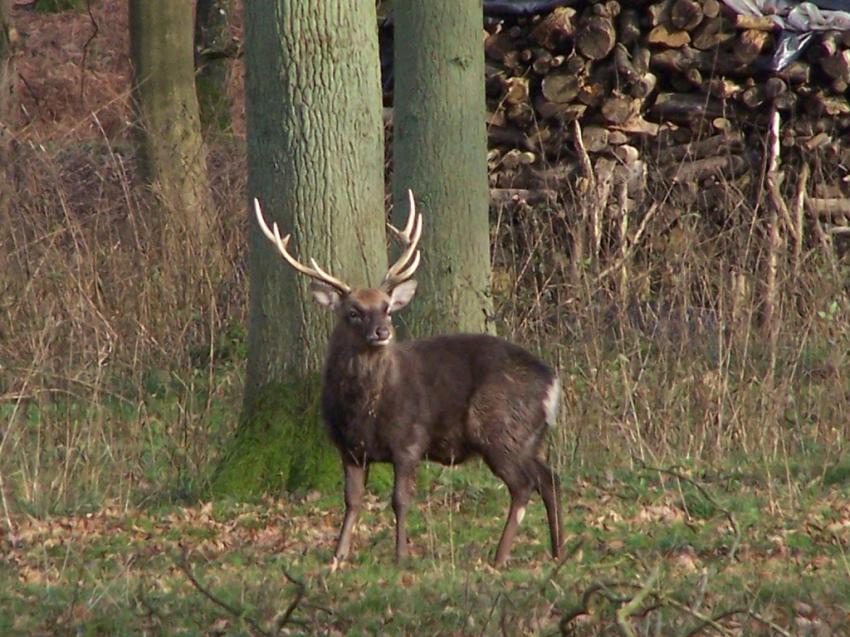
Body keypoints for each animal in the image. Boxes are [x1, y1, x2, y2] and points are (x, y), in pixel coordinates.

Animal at [252, 190, 564, 568]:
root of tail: (551, 384)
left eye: (386, 307)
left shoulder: (410, 440)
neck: (365, 408)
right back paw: (557, 550)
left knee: (523, 484)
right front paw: (338, 555)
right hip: (529, 436)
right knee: (550, 478)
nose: (382, 332)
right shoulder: (349, 448)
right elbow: (352, 500)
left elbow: (400, 499)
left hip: (499, 428)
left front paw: (400, 554)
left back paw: (499, 556)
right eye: (353, 312)